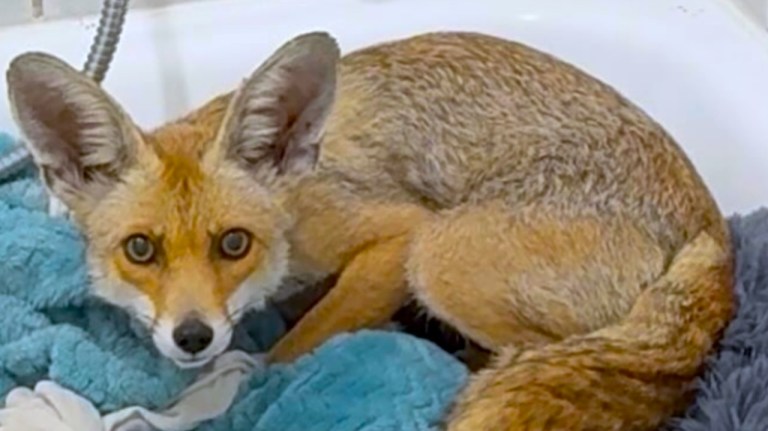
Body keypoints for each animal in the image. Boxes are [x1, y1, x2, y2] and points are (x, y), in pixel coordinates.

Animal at [6, 31, 733, 429]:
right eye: (141, 249)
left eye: (233, 243)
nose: (193, 337)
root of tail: (710, 230)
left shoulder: (397, 234)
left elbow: (294, 348)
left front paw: (244, 386)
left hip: (444, 256)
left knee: (547, 353)